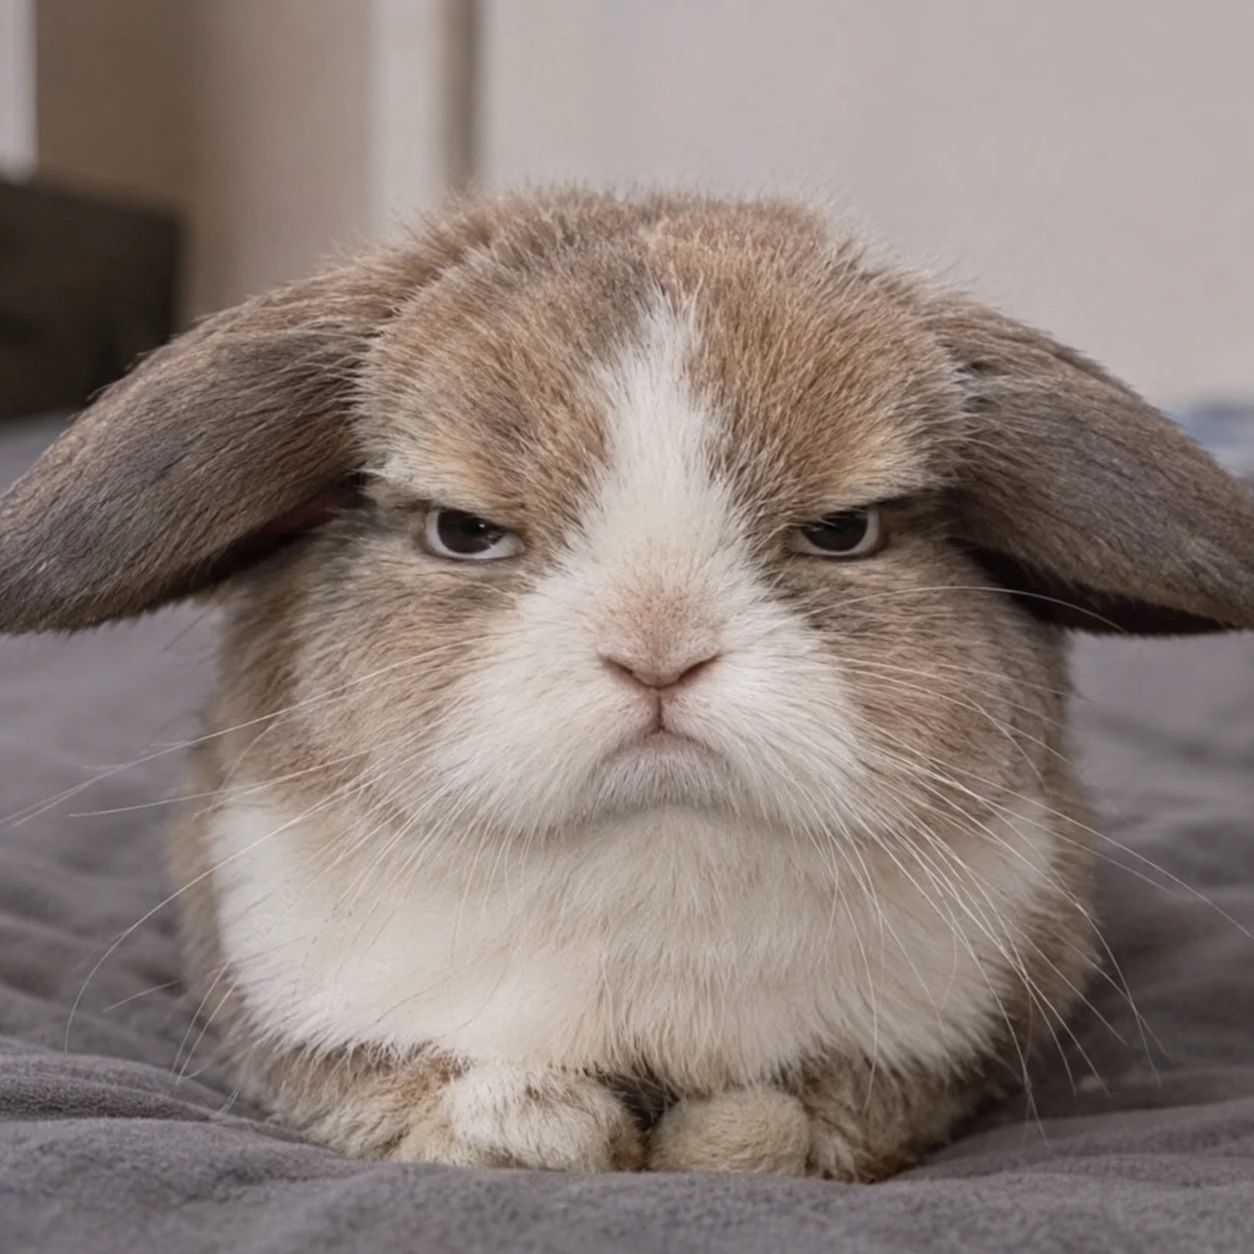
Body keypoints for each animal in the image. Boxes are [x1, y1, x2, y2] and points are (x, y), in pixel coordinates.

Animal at [2, 188, 1253, 1180]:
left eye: (845, 531)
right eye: (463, 531)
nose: (658, 651)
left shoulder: (947, 1042)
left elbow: (800, 1121)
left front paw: (713, 1137)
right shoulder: (301, 1019)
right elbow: (439, 1100)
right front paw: (549, 1126)